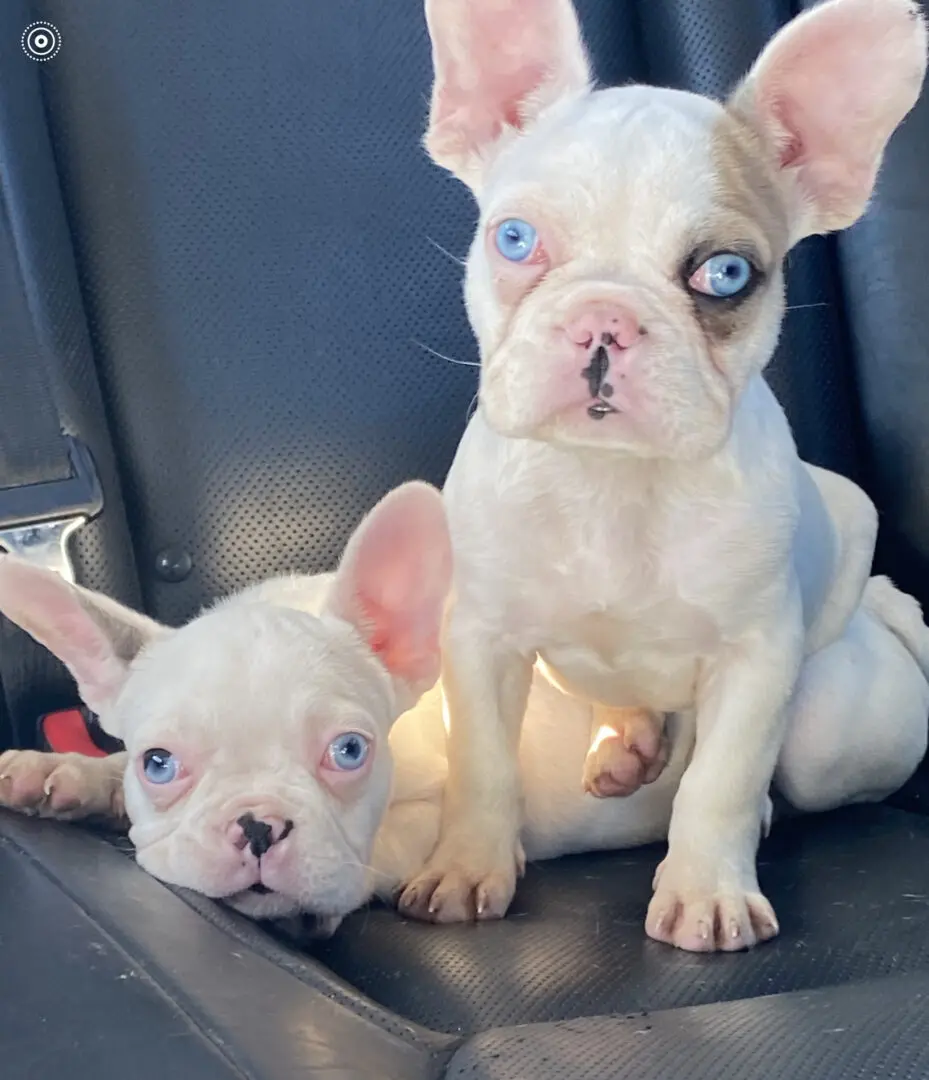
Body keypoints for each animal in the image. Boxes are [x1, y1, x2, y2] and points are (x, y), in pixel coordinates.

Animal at [0, 481, 924, 946]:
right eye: (159, 763)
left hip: (817, 734)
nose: (258, 825)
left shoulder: (420, 818)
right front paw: (63, 773)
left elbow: (386, 853)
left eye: (348, 751)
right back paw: (625, 739)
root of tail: (874, 605)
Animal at [397, 0, 928, 954]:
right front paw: (463, 868)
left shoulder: (756, 657)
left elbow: (720, 780)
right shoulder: (481, 640)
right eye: (514, 239)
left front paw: (707, 891)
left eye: (725, 274)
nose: (604, 318)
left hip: (825, 708)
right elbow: (481, 763)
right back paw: (625, 742)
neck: (615, 485)